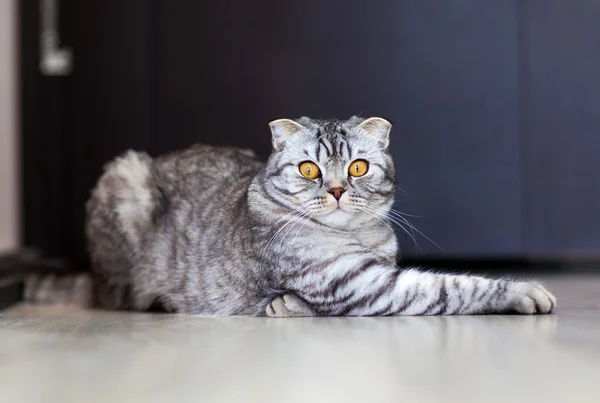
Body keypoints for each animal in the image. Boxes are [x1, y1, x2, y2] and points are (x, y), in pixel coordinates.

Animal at [27, 115, 552, 318]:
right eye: (309, 169)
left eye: (357, 167)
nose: (336, 190)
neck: (361, 240)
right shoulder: (363, 285)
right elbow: (454, 287)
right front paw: (522, 292)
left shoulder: (374, 273)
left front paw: (286, 306)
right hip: (125, 176)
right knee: (122, 300)